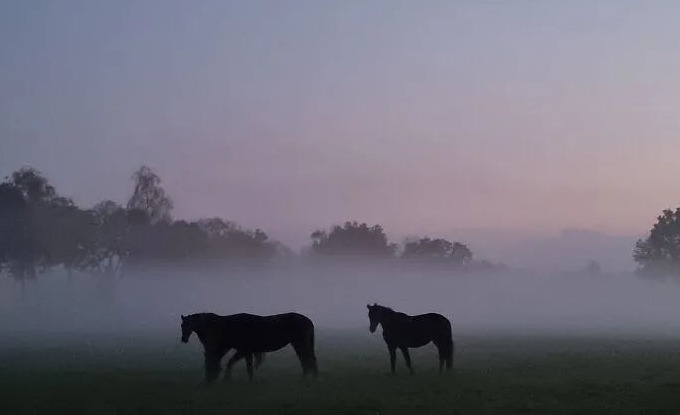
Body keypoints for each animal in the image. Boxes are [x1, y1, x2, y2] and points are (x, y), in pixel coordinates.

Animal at [181, 312, 318, 384]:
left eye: (187, 324)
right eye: (182, 325)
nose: (184, 339)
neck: (227, 328)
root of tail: (309, 320)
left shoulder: (244, 350)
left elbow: (247, 367)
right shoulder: (244, 351)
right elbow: (239, 365)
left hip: (300, 343)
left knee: (308, 359)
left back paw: (310, 379)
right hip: (299, 344)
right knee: (307, 360)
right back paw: (308, 378)